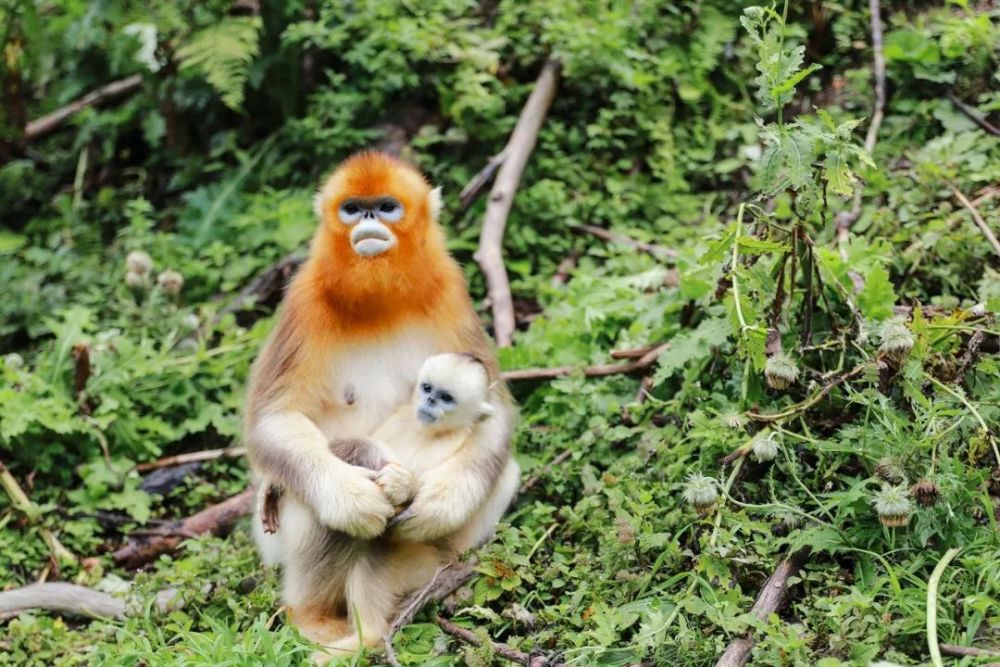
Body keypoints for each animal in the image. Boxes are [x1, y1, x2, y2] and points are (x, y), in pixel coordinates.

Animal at [246, 150, 520, 648]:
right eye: (353, 208)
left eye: (386, 206)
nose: (369, 219)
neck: (378, 301)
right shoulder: (304, 299)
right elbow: (272, 420)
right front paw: (353, 498)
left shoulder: (450, 290)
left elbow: (498, 411)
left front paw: (436, 504)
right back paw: (315, 617)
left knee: (504, 470)